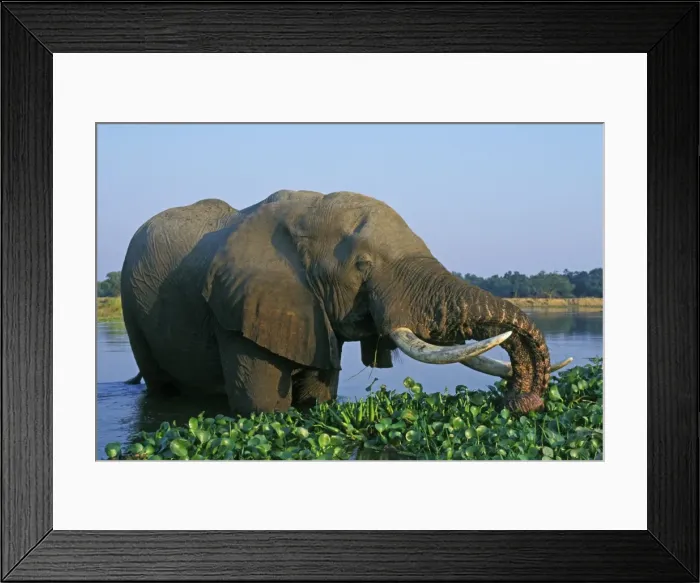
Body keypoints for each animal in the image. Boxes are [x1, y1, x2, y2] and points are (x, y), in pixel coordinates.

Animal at [120, 189, 573, 417]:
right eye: (362, 265)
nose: (520, 402)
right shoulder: (234, 311)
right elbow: (264, 410)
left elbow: (320, 399)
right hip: (131, 306)